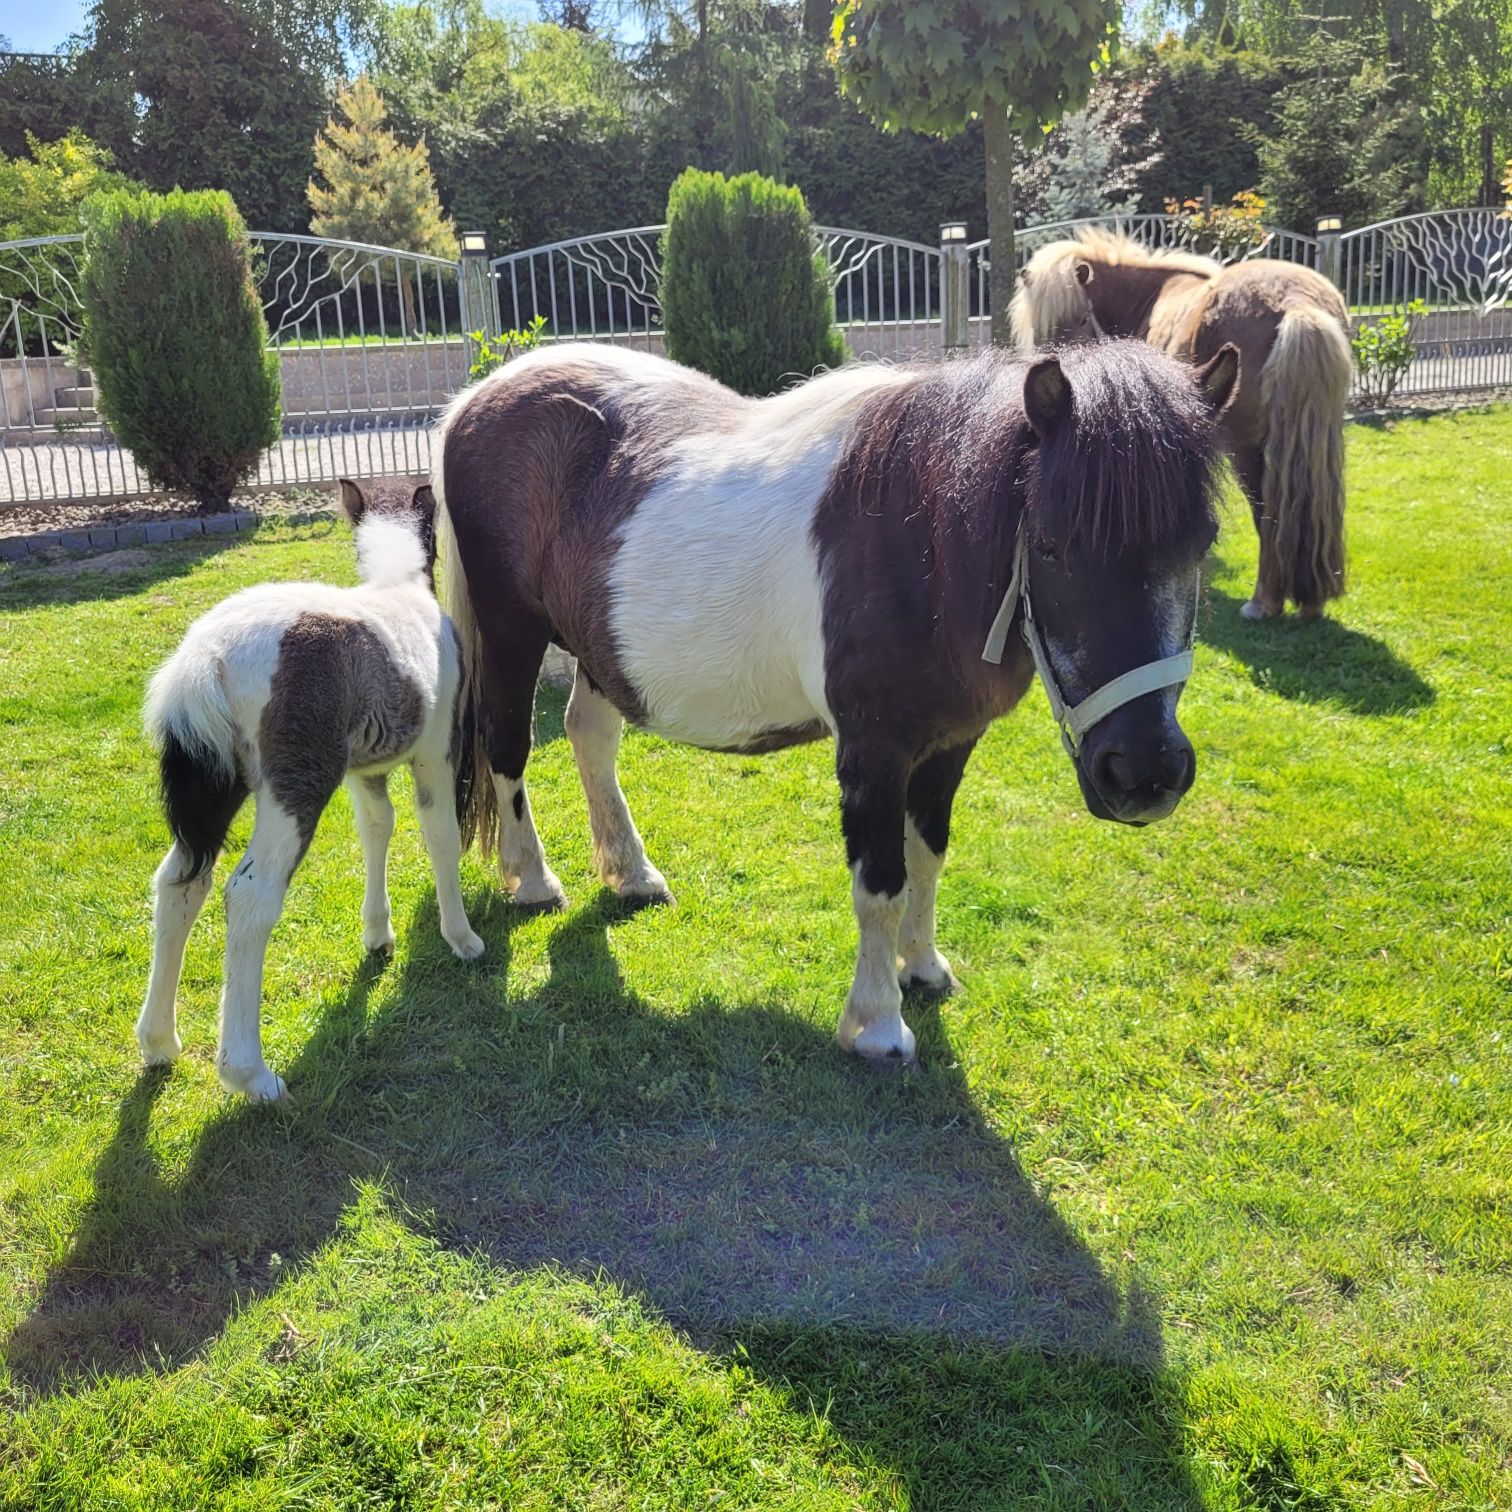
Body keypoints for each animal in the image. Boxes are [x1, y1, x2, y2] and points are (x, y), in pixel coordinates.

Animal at [135, 477, 480, 1106]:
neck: (397, 591)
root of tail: (203, 660)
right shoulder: (435, 751)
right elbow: (440, 834)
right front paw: (461, 938)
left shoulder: (364, 768)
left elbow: (378, 827)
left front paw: (378, 934)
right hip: (296, 784)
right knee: (249, 895)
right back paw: (251, 1074)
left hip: (218, 786)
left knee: (180, 882)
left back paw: (158, 1041)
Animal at [1016, 226, 1348, 616]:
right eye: (1039, 329)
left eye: (1082, 318)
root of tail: (1297, 305)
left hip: (1247, 449)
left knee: (1268, 513)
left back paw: (1262, 603)